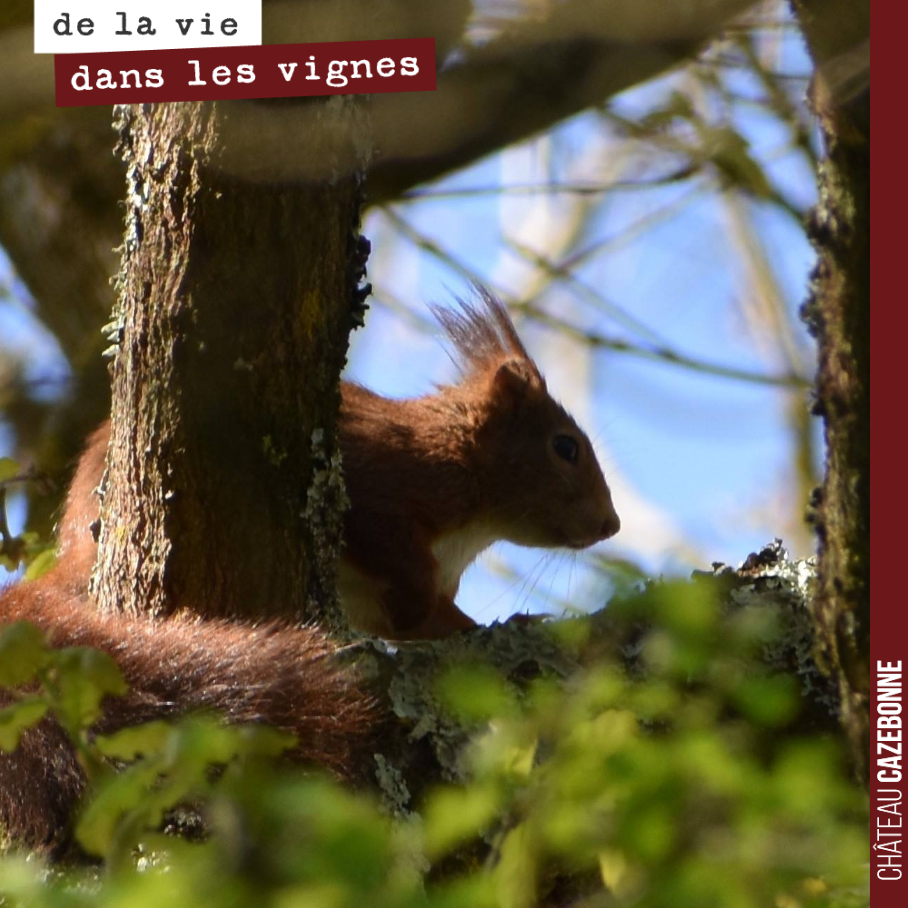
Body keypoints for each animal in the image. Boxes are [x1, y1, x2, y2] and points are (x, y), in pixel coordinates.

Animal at [0, 287, 618, 850]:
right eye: (565, 447)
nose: (610, 524)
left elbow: (430, 623)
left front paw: (500, 626)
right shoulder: (388, 482)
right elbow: (394, 557)